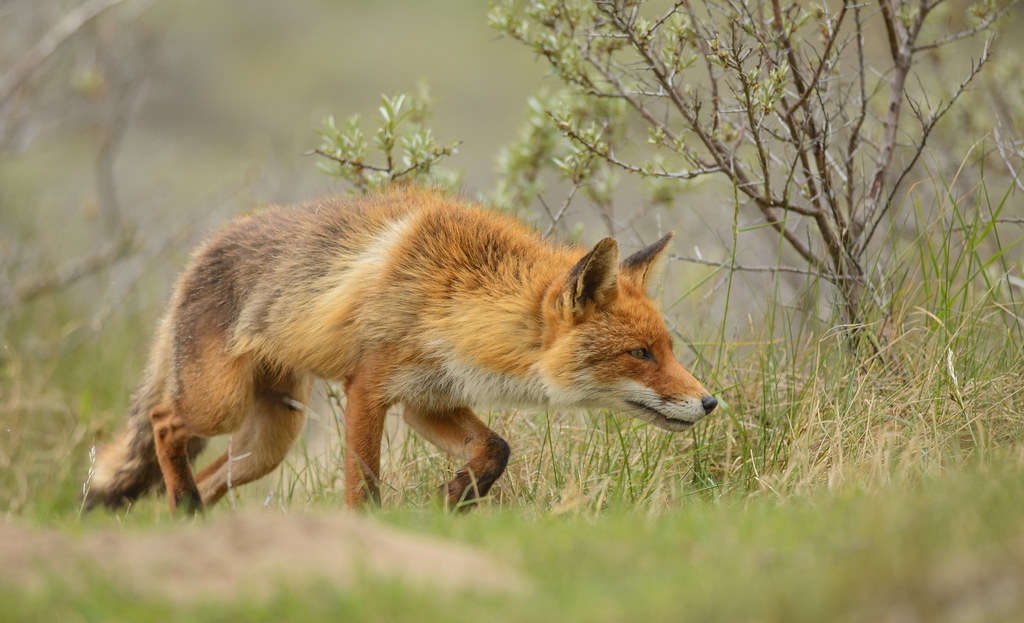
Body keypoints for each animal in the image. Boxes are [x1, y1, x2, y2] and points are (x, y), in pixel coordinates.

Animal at [83, 188, 716, 510]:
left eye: (667, 349)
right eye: (640, 355)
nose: (711, 403)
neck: (450, 298)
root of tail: (200, 253)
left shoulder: (426, 400)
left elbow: (496, 449)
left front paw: (455, 498)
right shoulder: (369, 390)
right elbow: (363, 488)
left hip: (270, 439)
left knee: (213, 475)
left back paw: (195, 523)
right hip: (220, 405)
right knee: (163, 423)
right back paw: (183, 505)